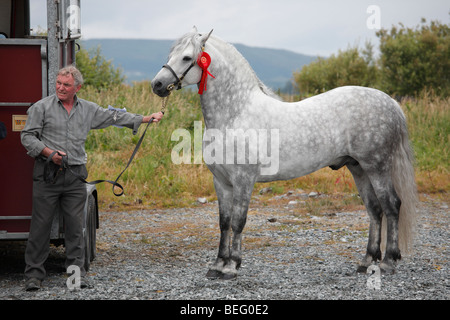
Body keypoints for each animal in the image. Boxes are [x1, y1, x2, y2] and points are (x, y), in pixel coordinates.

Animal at [152, 27, 418, 280]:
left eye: (187, 57)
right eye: (170, 55)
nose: (157, 85)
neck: (236, 113)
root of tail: (391, 103)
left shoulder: (243, 181)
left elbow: (238, 222)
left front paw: (232, 266)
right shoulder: (221, 182)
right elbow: (224, 223)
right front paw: (217, 266)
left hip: (377, 167)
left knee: (391, 205)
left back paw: (388, 262)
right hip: (359, 168)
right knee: (374, 210)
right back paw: (366, 261)